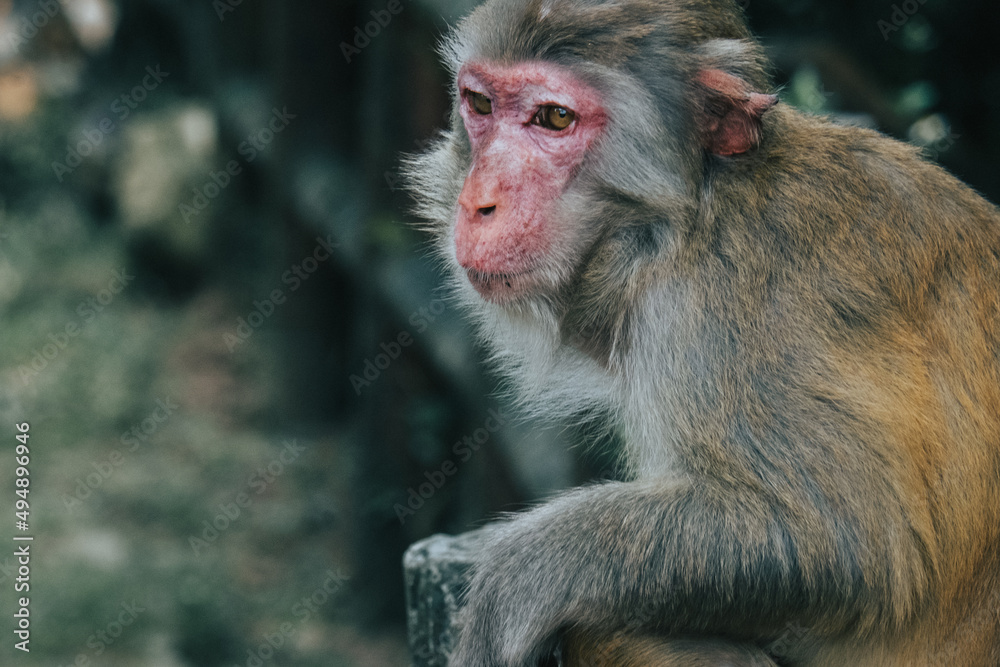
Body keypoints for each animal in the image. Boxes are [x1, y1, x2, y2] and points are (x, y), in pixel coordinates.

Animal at [404, 0, 1000, 665]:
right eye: (480, 105)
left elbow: (846, 543)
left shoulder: (730, 305)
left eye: (554, 118)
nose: (478, 202)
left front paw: (508, 589)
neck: (684, 216)